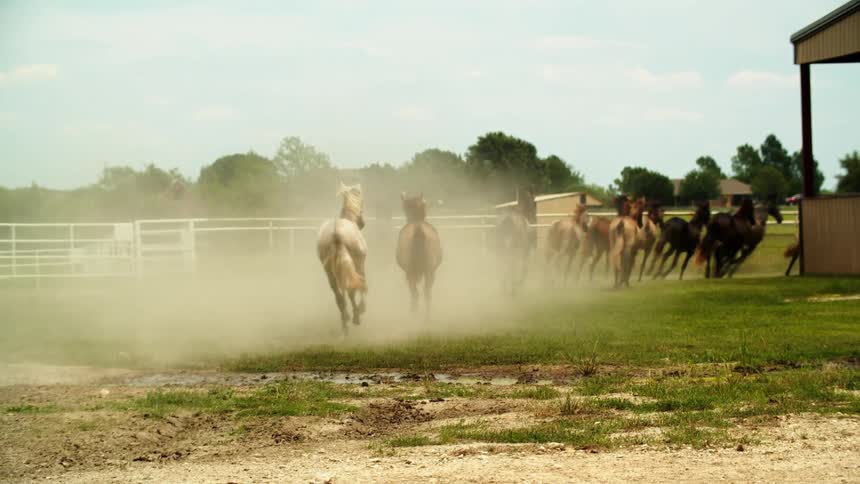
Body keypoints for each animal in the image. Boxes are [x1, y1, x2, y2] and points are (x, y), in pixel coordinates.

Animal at [317, 182, 368, 332]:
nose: (362, 223)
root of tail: (336, 233)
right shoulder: (360, 264)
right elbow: (362, 283)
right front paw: (362, 308)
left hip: (330, 272)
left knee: (339, 296)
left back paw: (345, 320)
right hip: (353, 264)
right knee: (351, 290)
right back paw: (355, 316)